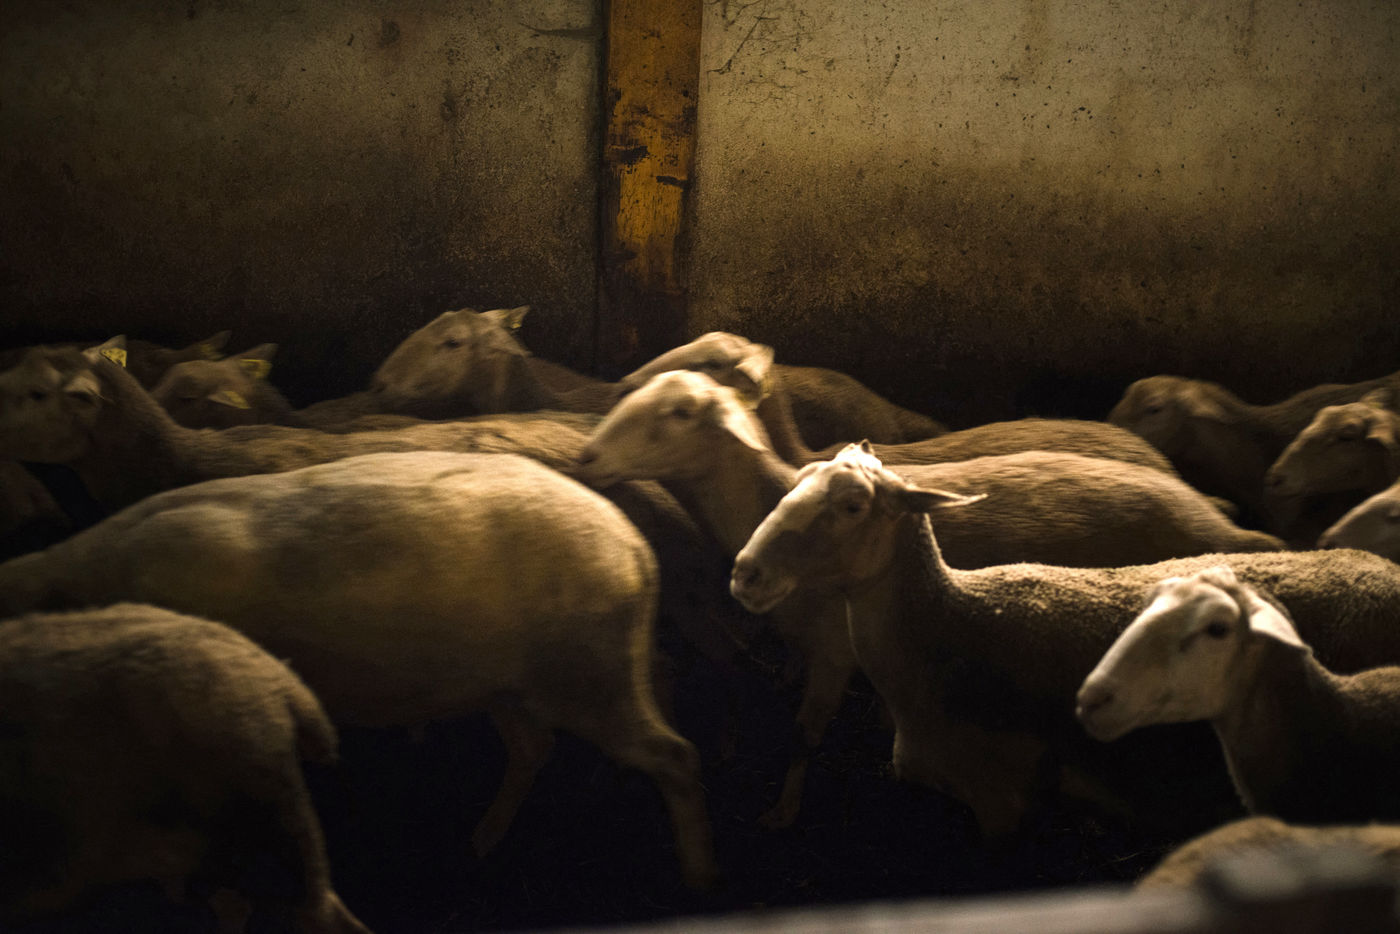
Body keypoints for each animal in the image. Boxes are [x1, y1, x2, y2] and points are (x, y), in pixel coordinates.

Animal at [0, 451, 717, 889]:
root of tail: (636, 549)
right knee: (533, 747)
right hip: (508, 683)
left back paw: (696, 877)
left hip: (589, 672)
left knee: (675, 753)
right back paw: (479, 843)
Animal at [577, 371, 1281, 826]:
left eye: (678, 412)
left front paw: (782, 810)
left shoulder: (835, 652)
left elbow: (805, 733)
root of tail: (1210, 513)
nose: (587, 455)